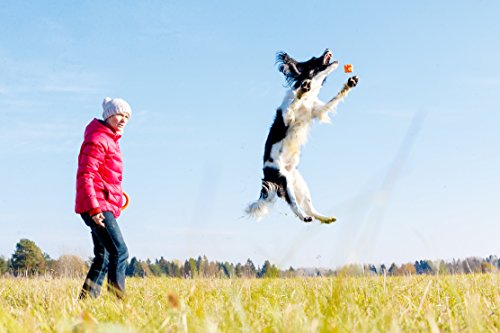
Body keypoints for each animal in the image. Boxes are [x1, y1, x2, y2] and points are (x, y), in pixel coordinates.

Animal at [247, 47, 360, 223]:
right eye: (314, 59)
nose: (327, 49)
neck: (309, 97)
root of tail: (266, 175)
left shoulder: (318, 110)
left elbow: (335, 99)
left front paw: (349, 84)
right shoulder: (287, 116)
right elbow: (294, 102)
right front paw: (301, 90)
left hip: (299, 184)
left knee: (310, 208)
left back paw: (325, 218)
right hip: (284, 180)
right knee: (293, 205)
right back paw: (304, 217)